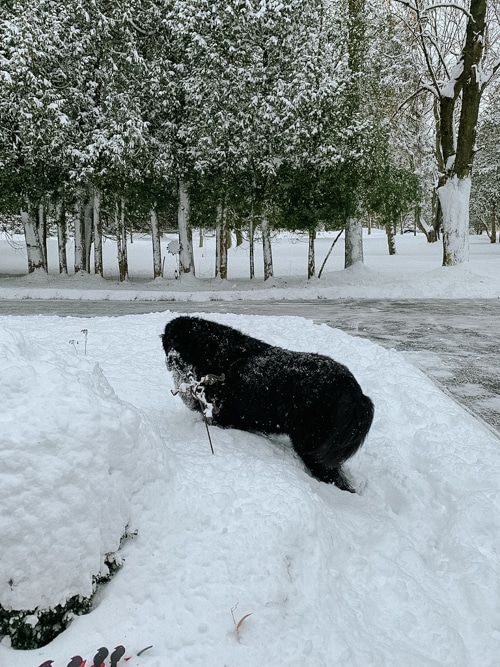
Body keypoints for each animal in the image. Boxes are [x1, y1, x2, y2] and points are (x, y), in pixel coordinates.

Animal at [162, 316, 374, 494]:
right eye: (170, 340)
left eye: (185, 341)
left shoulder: (220, 417)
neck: (214, 355)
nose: (172, 358)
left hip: (312, 445)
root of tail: (355, 391)